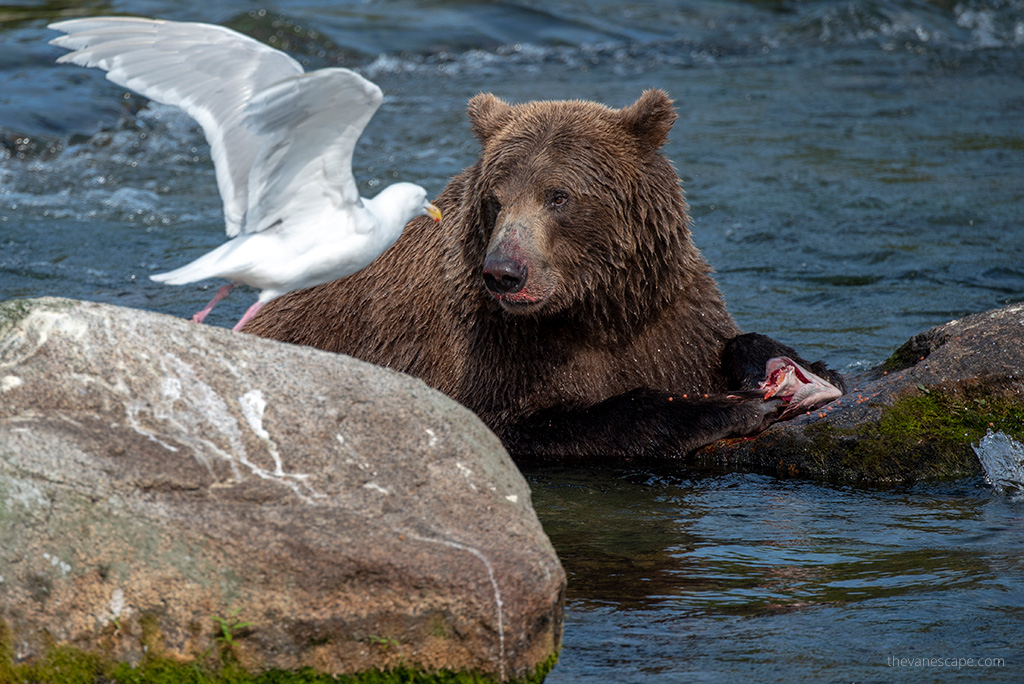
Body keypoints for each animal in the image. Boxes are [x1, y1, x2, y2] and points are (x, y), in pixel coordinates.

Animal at [243, 87, 843, 458]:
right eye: (495, 197)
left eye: (559, 196)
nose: (504, 273)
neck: (594, 308)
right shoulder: (489, 347)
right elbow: (531, 422)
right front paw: (727, 409)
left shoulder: (670, 315)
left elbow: (723, 339)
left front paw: (794, 368)